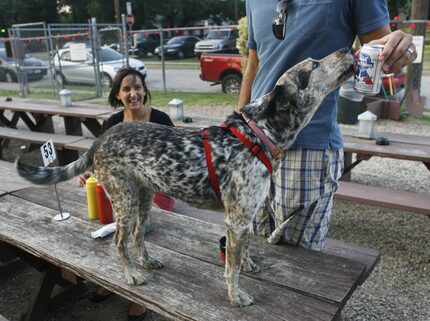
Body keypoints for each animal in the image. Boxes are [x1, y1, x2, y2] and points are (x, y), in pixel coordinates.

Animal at [15, 48, 354, 306]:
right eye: (314, 64)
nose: (347, 49)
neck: (258, 134)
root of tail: (99, 140)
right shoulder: (236, 221)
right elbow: (231, 269)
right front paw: (236, 296)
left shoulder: (245, 219)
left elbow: (244, 253)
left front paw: (249, 266)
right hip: (124, 202)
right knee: (120, 243)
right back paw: (132, 275)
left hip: (144, 198)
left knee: (137, 236)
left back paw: (147, 262)